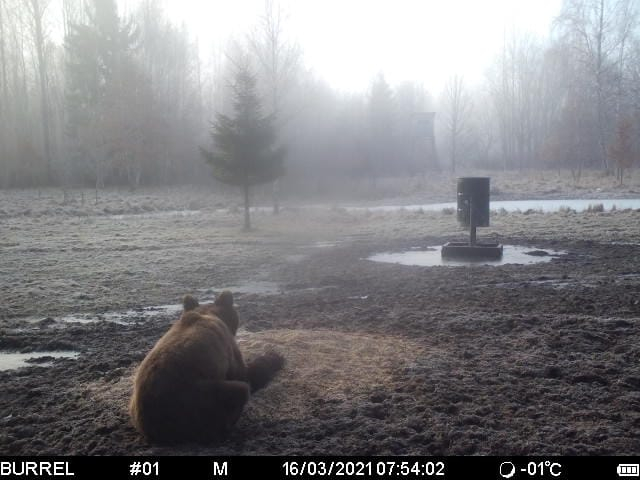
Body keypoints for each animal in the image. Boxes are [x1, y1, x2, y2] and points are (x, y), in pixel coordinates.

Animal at [129, 290, 284, 444]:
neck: (207, 314)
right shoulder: (227, 350)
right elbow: (245, 375)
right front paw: (275, 357)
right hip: (195, 399)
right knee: (239, 392)